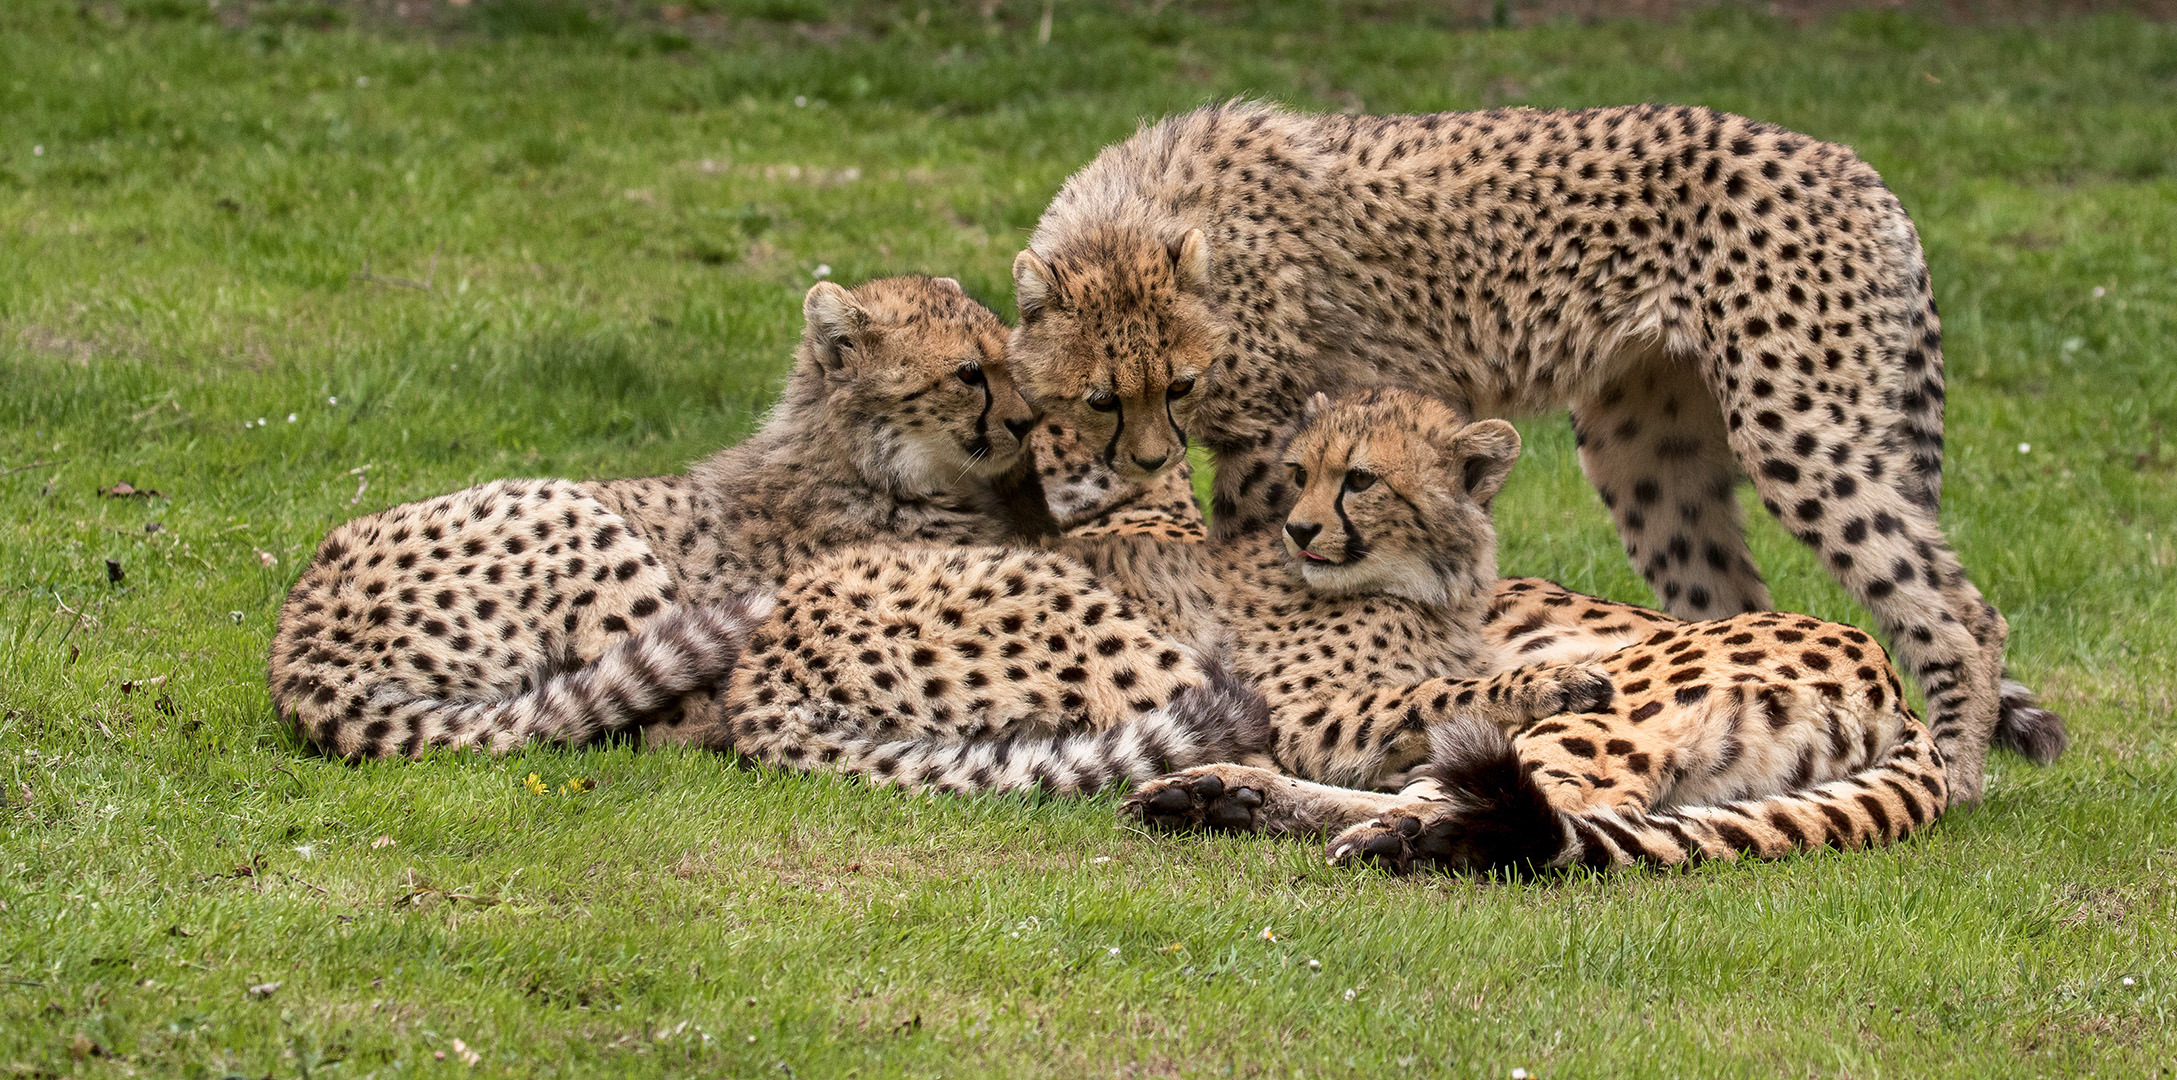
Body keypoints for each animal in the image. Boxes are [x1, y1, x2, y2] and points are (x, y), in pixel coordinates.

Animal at [265, 278, 1071, 757]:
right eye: (968, 374)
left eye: (1007, 361)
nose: (1026, 422)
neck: (869, 464)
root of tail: (298, 651)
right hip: (575, 514)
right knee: (674, 720)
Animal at [1001, 101, 2055, 805]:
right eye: (1101, 399)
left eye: (1178, 386)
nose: (1146, 459)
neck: (1150, 212)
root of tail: (1855, 168)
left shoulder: (1270, 441)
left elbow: (1270, 564)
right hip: (1643, 451)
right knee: (1728, 606)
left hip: (1797, 422)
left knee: (1956, 610)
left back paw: (1955, 778)